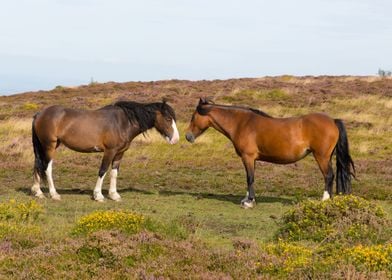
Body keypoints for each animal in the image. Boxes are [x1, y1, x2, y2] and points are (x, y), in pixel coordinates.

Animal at [32, 100, 179, 201]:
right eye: (168, 118)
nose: (176, 139)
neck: (123, 122)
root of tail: (39, 114)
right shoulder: (109, 151)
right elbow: (102, 171)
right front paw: (98, 195)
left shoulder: (119, 153)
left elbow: (114, 173)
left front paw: (114, 195)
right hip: (49, 146)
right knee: (47, 168)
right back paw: (54, 194)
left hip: (45, 146)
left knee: (37, 165)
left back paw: (38, 192)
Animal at [185, 98, 354, 208]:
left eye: (193, 117)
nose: (188, 136)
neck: (241, 123)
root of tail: (332, 121)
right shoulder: (251, 159)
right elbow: (250, 178)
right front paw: (247, 198)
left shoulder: (248, 157)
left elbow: (250, 178)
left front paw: (249, 201)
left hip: (321, 157)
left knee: (328, 175)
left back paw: (324, 199)